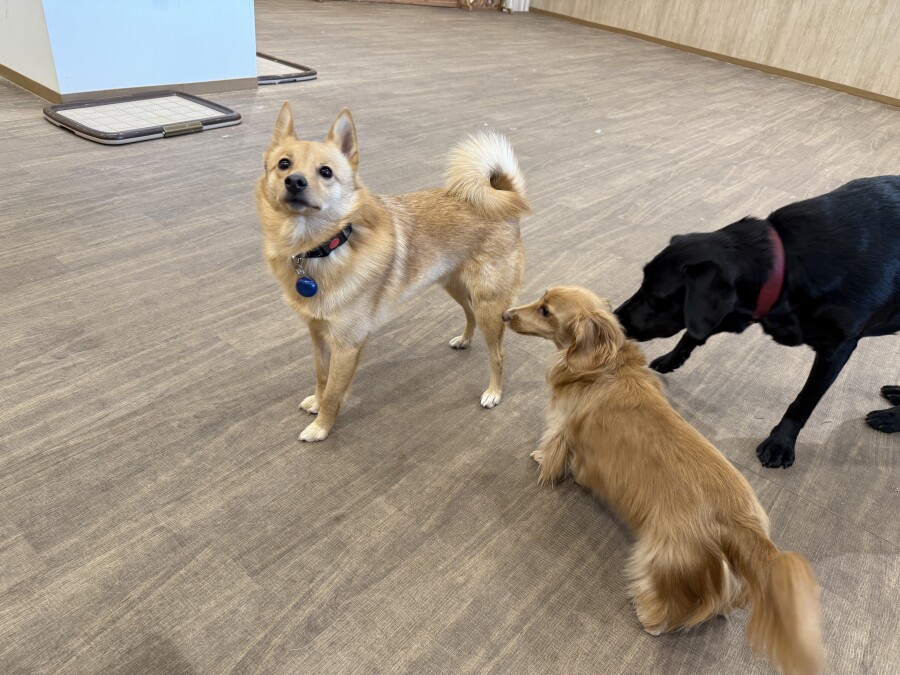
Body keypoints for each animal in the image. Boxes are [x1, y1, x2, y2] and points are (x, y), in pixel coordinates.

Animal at [256, 103, 528, 441]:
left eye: (326, 172)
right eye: (284, 164)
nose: (294, 181)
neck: (322, 248)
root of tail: (504, 198)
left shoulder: (347, 345)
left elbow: (333, 391)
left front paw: (321, 427)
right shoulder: (317, 333)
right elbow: (321, 376)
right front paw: (316, 403)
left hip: (488, 302)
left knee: (497, 354)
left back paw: (494, 392)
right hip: (456, 287)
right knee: (469, 315)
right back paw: (464, 340)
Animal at [503, 287, 824, 675]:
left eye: (546, 311)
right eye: (540, 299)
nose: (505, 315)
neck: (605, 365)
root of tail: (743, 523)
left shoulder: (562, 425)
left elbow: (552, 445)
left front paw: (540, 460)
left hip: (661, 557)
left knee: (675, 607)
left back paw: (650, 617)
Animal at [616, 176, 900, 468]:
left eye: (655, 296)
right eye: (642, 282)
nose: (618, 318)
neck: (786, 262)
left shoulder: (837, 348)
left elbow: (803, 401)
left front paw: (781, 442)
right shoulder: (743, 309)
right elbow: (694, 333)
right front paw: (671, 359)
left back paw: (891, 418)